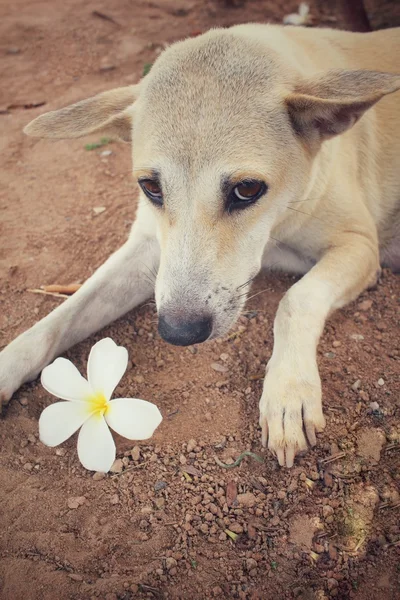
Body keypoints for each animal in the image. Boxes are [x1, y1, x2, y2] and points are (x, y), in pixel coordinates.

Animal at [0, 24, 400, 468]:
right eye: (151, 186)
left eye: (247, 189)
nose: (178, 332)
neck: (277, 222)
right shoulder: (148, 250)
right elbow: (57, 320)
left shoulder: (359, 245)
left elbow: (297, 298)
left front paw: (287, 392)